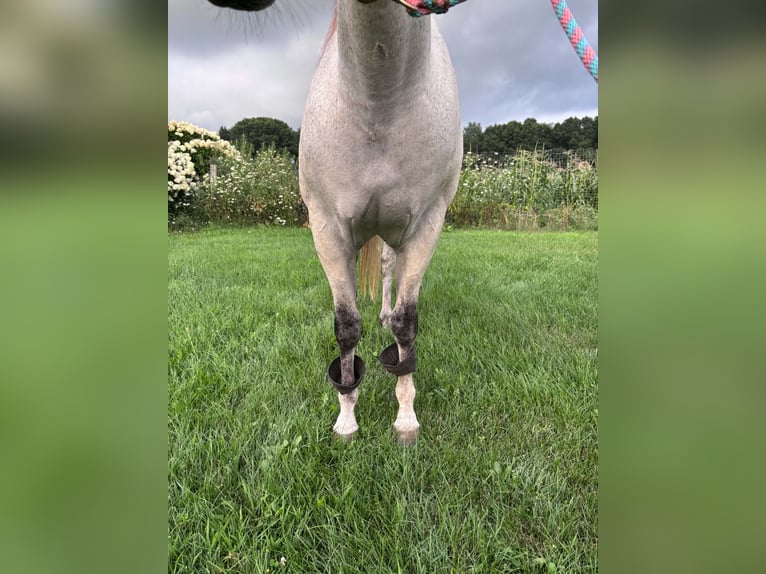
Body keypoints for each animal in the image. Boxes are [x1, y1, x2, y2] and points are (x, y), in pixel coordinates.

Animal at [207, 0, 463, 443]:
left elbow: (406, 323)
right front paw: (346, 417)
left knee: (390, 273)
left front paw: (405, 416)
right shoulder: (327, 229)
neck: (380, 102)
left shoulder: (426, 225)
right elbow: (346, 325)